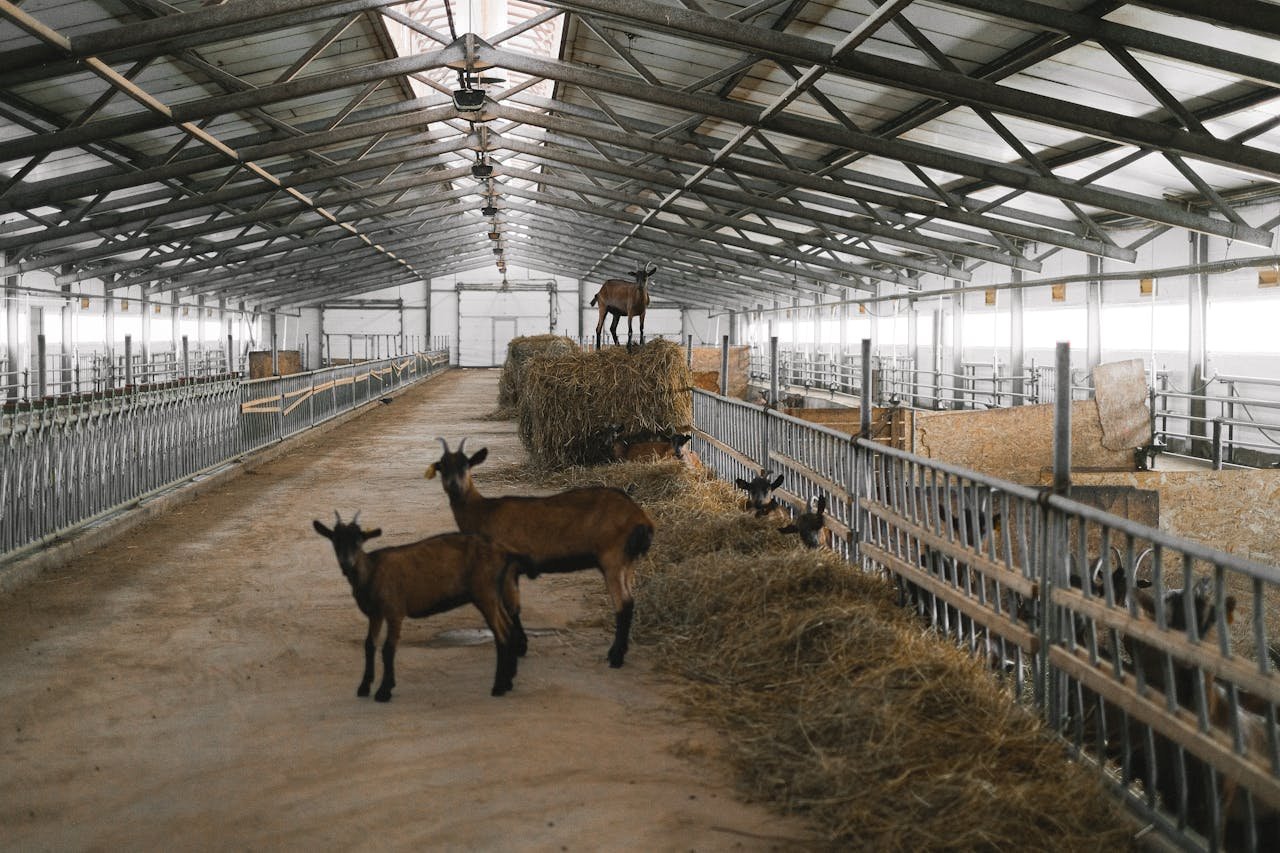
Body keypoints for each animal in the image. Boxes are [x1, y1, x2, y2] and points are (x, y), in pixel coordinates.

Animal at [312, 512, 527, 696]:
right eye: (335, 540)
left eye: (358, 541)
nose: (346, 563)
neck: (372, 571)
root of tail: (503, 550)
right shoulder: (375, 614)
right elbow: (369, 645)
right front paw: (364, 687)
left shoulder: (394, 610)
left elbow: (388, 648)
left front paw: (384, 690)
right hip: (495, 592)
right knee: (508, 627)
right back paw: (508, 681)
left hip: (485, 593)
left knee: (501, 632)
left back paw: (498, 687)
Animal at [424, 438, 655, 666]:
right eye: (442, 466)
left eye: (466, 464)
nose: (455, 486)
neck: (482, 511)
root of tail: (640, 517)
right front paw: (520, 645)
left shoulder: (508, 566)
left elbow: (512, 608)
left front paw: (519, 647)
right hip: (626, 561)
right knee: (629, 601)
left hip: (613, 558)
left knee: (623, 604)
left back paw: (615, 657)